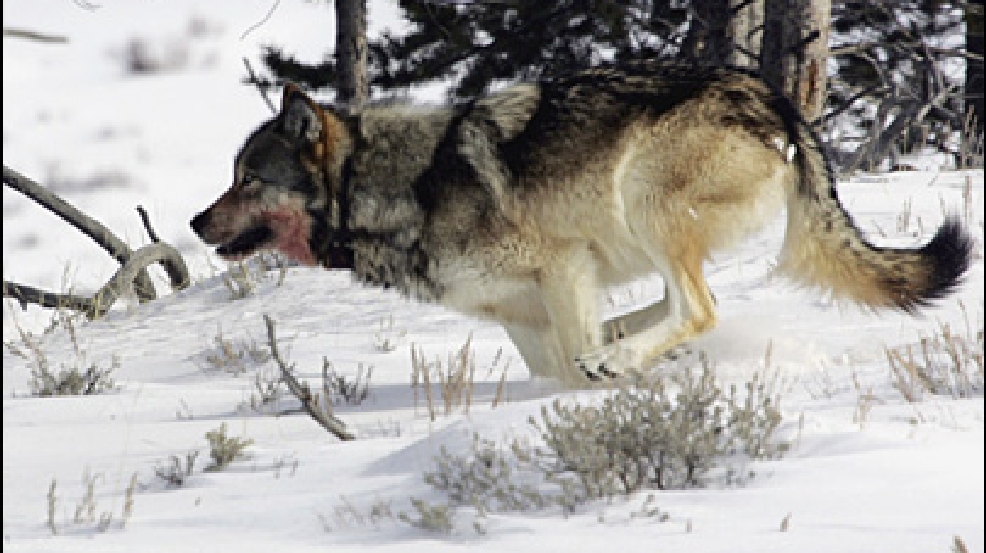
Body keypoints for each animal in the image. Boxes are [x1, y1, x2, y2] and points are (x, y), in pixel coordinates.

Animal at [190, 62, 968, 386]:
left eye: (248, 178)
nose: (196, 221)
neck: (394, 188)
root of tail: (776, 98)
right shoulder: (521, 313)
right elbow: (553, 369)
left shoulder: (562, 265)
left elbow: (572, 362)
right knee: (682, 303)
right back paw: (622, 344)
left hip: (643, 197)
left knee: (701, 307)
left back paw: (619, 356)